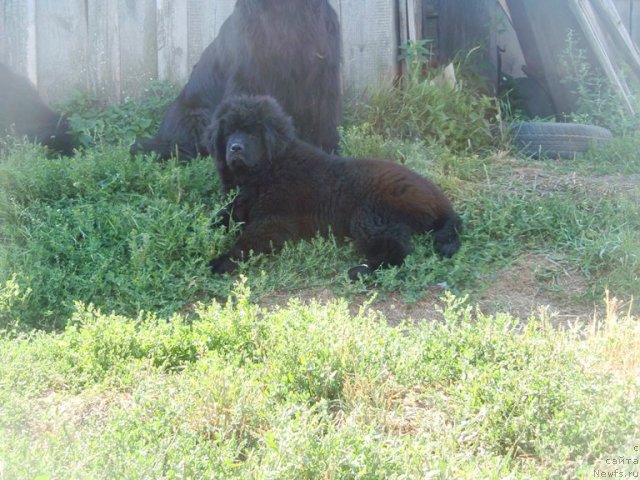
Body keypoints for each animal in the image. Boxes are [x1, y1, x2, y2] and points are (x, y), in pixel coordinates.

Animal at [205, 94, 460, 280]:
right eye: (229, 133)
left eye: (252, 133)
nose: (235, 148)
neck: (266, 169)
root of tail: (440, 200)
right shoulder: (237, 205)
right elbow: (219, 218)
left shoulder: (273, 219)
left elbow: (247, 240)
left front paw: (223, 261)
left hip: (371, 217)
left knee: (397, 251)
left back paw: (362, 271)